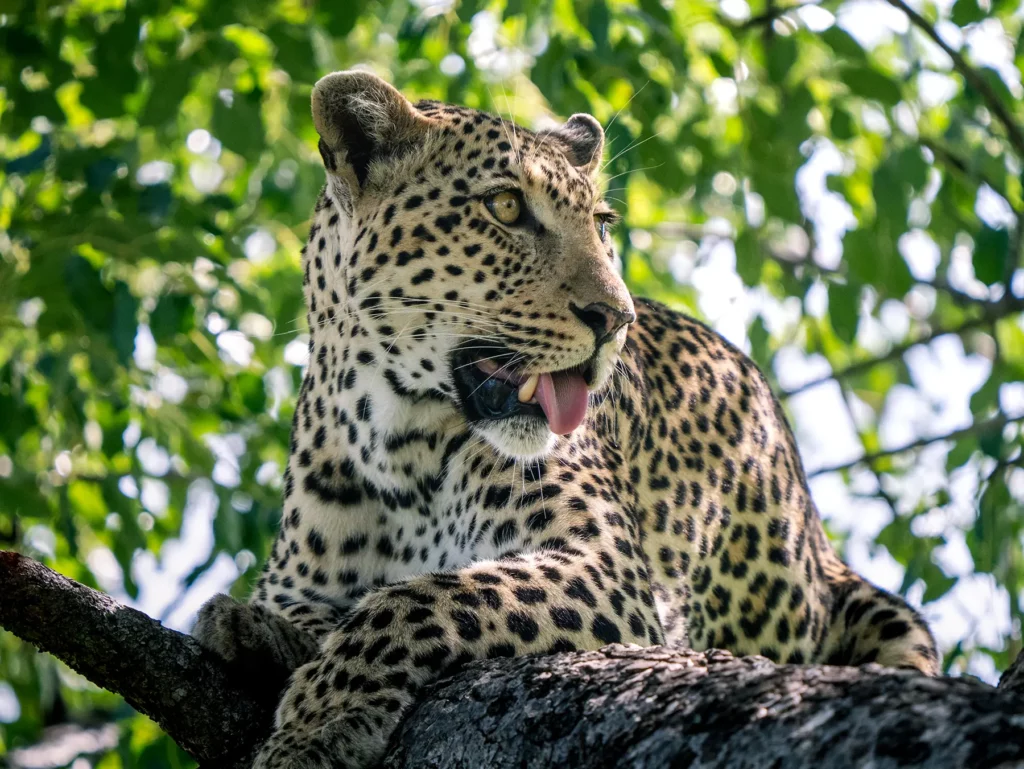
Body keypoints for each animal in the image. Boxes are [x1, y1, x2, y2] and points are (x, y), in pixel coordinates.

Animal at [193, 70, 939, 769]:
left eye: (602, 226)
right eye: (504, 207)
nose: (617, 319)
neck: (394, 438)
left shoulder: (605, 566)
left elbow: (413, 601)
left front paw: (317, 722)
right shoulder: (299, 583)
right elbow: (317, 610)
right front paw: (252, 630)